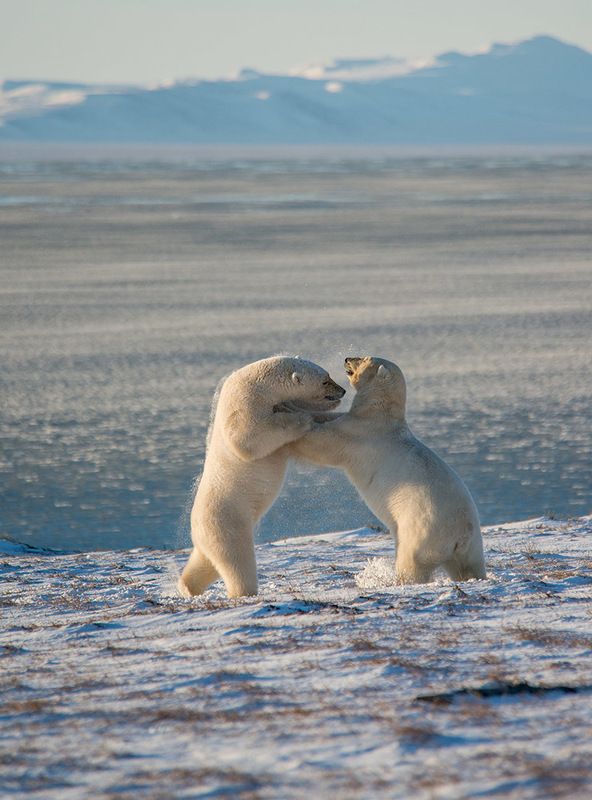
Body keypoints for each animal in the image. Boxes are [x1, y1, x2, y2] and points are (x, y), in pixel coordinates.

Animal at [178, 356, 346, 599]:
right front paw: (298, 418)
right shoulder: (244, 403)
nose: (342, 390)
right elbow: (247, 438)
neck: (261, 385)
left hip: (210, 535)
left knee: (205, 562)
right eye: (325, 380)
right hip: (227, 521)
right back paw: (243, 591)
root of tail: (196, 527)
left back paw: (188, 586)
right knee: (236, 560)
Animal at [290, 356, 486, 584]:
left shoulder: (360, 436)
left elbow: (322, 442)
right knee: (468, 567)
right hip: (472, 547)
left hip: (421, 531)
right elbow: (332, 418)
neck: (381, 414)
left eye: (364, 358)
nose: (347, 358)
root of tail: (461, 535)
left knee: (411, 561)